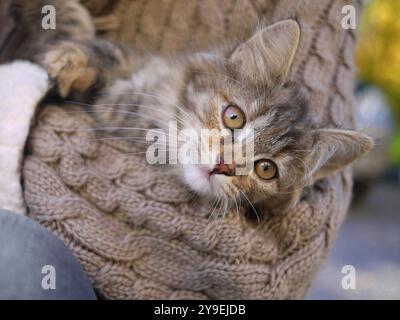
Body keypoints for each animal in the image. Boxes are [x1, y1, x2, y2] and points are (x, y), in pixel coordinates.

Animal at [39, 19, 374, 215]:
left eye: (266, 169)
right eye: (234, 117)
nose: (223, 165)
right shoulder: (140, 65)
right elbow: (110, 51)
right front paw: (68, 62)